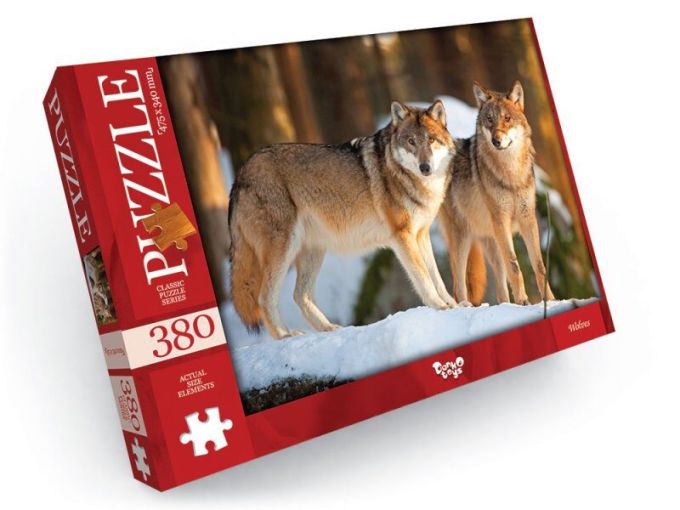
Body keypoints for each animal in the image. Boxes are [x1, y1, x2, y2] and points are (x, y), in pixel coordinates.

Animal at [229, 100, 456, 339]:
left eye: (431, 140)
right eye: (411, 141)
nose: (425, 168)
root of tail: (241, 173)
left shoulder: (421, 234)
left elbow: (436, 276)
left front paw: (454, 304)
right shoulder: (403, 236)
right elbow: (423, 278)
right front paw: (439, 306)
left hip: (313, 251)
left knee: (300, 295)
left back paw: (329, 329)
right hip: (283, 250)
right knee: (264, 297)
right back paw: (285, 335)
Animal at [439, 81, 555, 306]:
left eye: (507, 119)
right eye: (490, 120)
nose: (496, 140)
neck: (511, 174)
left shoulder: (528, 219)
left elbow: (539, 266)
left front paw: (553, 302)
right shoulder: (502, 221)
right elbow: (515, 267)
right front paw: (524, 302)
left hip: (492, 242)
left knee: (501, 290)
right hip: (463, 240)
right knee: (458, 287)